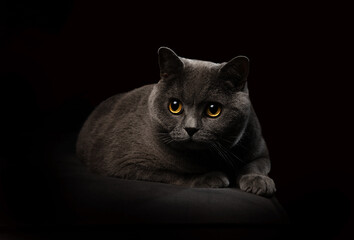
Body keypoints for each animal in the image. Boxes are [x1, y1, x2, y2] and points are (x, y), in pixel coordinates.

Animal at [76, 47, 276, 197]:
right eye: (175, 106)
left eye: (213, 110)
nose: (191, 128)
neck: (207, 157)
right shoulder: (124, 162)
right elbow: (173, 173)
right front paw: (210, 177)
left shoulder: (260, 149)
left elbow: (254, 165)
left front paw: (259, 182)